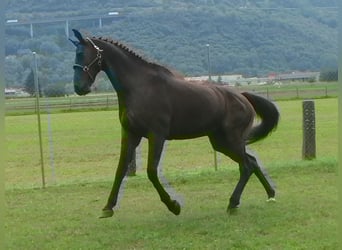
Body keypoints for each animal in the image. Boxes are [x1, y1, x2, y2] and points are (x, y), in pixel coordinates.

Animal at [70, 28, 280, 218]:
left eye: (81, 53)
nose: (79, 87)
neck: (140, 87)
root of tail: (243, 96)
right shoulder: (130, 135)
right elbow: (121, 169)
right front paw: (108, 207)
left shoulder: (157, 136)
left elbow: (151, 171)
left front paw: (173, 205)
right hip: (221, 142)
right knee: (251, 162)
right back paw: (269, 194)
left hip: (231, 141)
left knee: (247, 166)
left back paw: (233, 203)